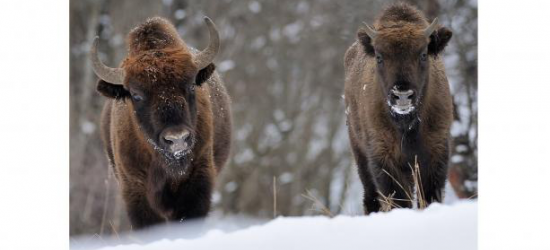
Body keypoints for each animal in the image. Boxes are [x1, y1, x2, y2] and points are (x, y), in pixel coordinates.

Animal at [344, 2, 458, 214]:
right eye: (379, 56)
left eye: (423, 54)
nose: (402, 95)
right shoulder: (383, 158)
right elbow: (398, 198)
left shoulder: (435, 153)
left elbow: (429, 196)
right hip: (360, 154)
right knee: (370, 197)